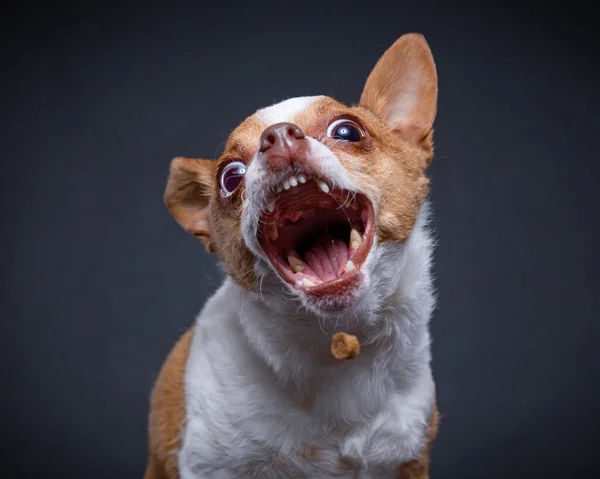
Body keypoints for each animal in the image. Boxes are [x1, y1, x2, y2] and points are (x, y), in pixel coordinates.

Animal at [143, 31, 438, 478]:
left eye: (348, 131)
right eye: (230, 177)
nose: (279, 136)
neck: (339, 338)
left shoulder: (407, 457)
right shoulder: (206, 465)